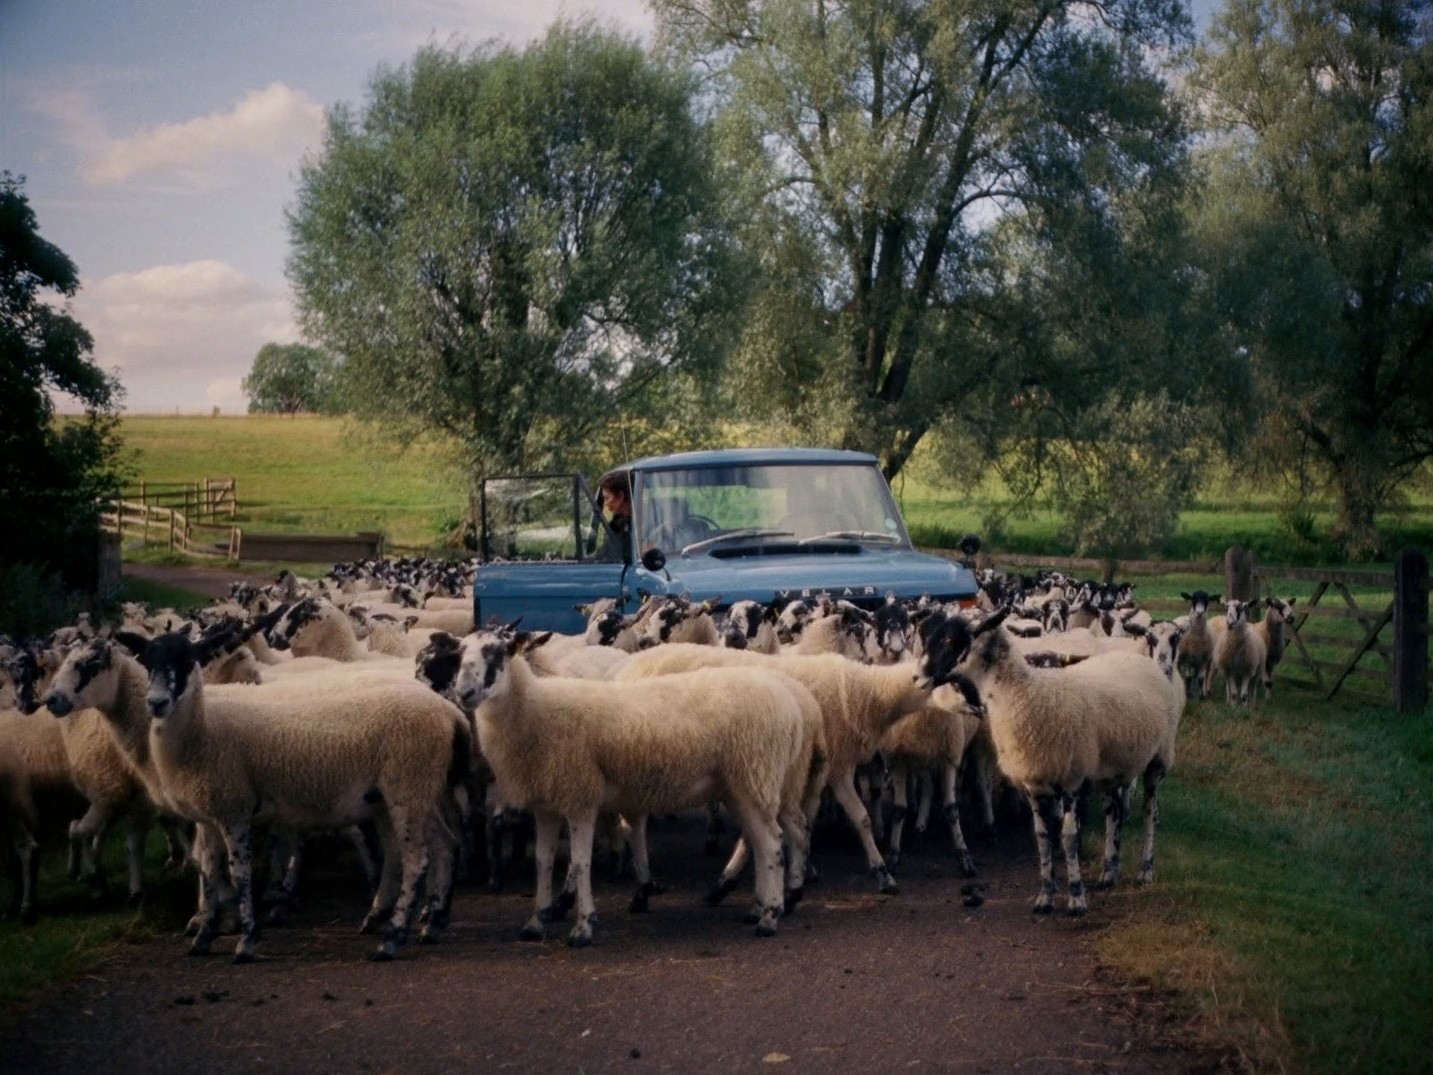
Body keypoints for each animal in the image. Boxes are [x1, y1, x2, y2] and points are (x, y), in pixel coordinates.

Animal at [42, 634, 471, 962]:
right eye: (148, 661)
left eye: (89, 664)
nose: (51, 701)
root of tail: (448, 711)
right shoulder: (209, 809)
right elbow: (208, 862)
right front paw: (213, 923)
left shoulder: (232, 806)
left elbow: (227, 866)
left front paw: (236, 926)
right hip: (413, 792)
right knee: (442, 845)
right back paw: (427, 921)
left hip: (406, 788)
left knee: (417, 858)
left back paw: (393, 937)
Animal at [450, 628, 825, 945]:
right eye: (460, 654)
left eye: (496, 653)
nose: (463, 693)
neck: (535, 710)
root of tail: (793, 702)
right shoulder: (547, 804)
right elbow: (543, 861)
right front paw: (536, 922)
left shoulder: (580, 797)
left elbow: (580, 863)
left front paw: (583, 926)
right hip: (755, 784)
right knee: (780, 836)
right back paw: (771, 902)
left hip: (754, 776)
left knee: (772, 844)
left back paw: (770, 916)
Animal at [916, 606, 1184, 915]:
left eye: (950, 640)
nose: (916, 677)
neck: (1027, 695)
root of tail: (1143, 660)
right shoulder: (1034, 783)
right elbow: (1042, 837)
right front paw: (1045, 896)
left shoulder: (1071, 780)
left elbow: (1069, 837)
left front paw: (1076, 898)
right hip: (1113, 767)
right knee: (1114, 812)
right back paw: (1109, 872)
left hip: (1159, 758)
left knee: (1149, 812)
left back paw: (1145, 871)